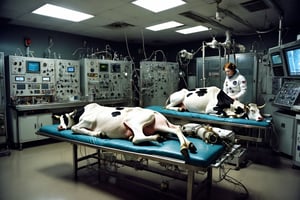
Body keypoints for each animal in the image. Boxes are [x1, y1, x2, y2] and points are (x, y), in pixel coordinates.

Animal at [54, 104, 197, 160]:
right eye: (59, 119)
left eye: (65, 118)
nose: (59, 127)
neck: (83, 111)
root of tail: (155, 112)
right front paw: (99, 134)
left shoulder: (88, 121)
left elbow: (75, 128)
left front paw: (98, 133)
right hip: (161, 125)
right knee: (176, 128)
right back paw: (187, 146)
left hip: (133, 122)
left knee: (137, 138)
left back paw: (158, 138)